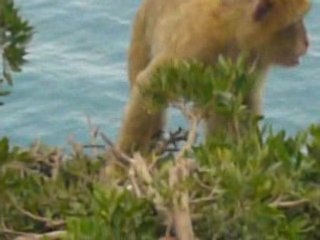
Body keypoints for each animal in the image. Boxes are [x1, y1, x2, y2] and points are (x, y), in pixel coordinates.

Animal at [115, 0, 310, 157]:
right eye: (294, 23)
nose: (307, 42)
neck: (235, 31)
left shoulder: (255, 59)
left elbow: (243, 102)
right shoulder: (196, 45)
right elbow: (150, 86)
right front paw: (121, 165)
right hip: (141, 35)